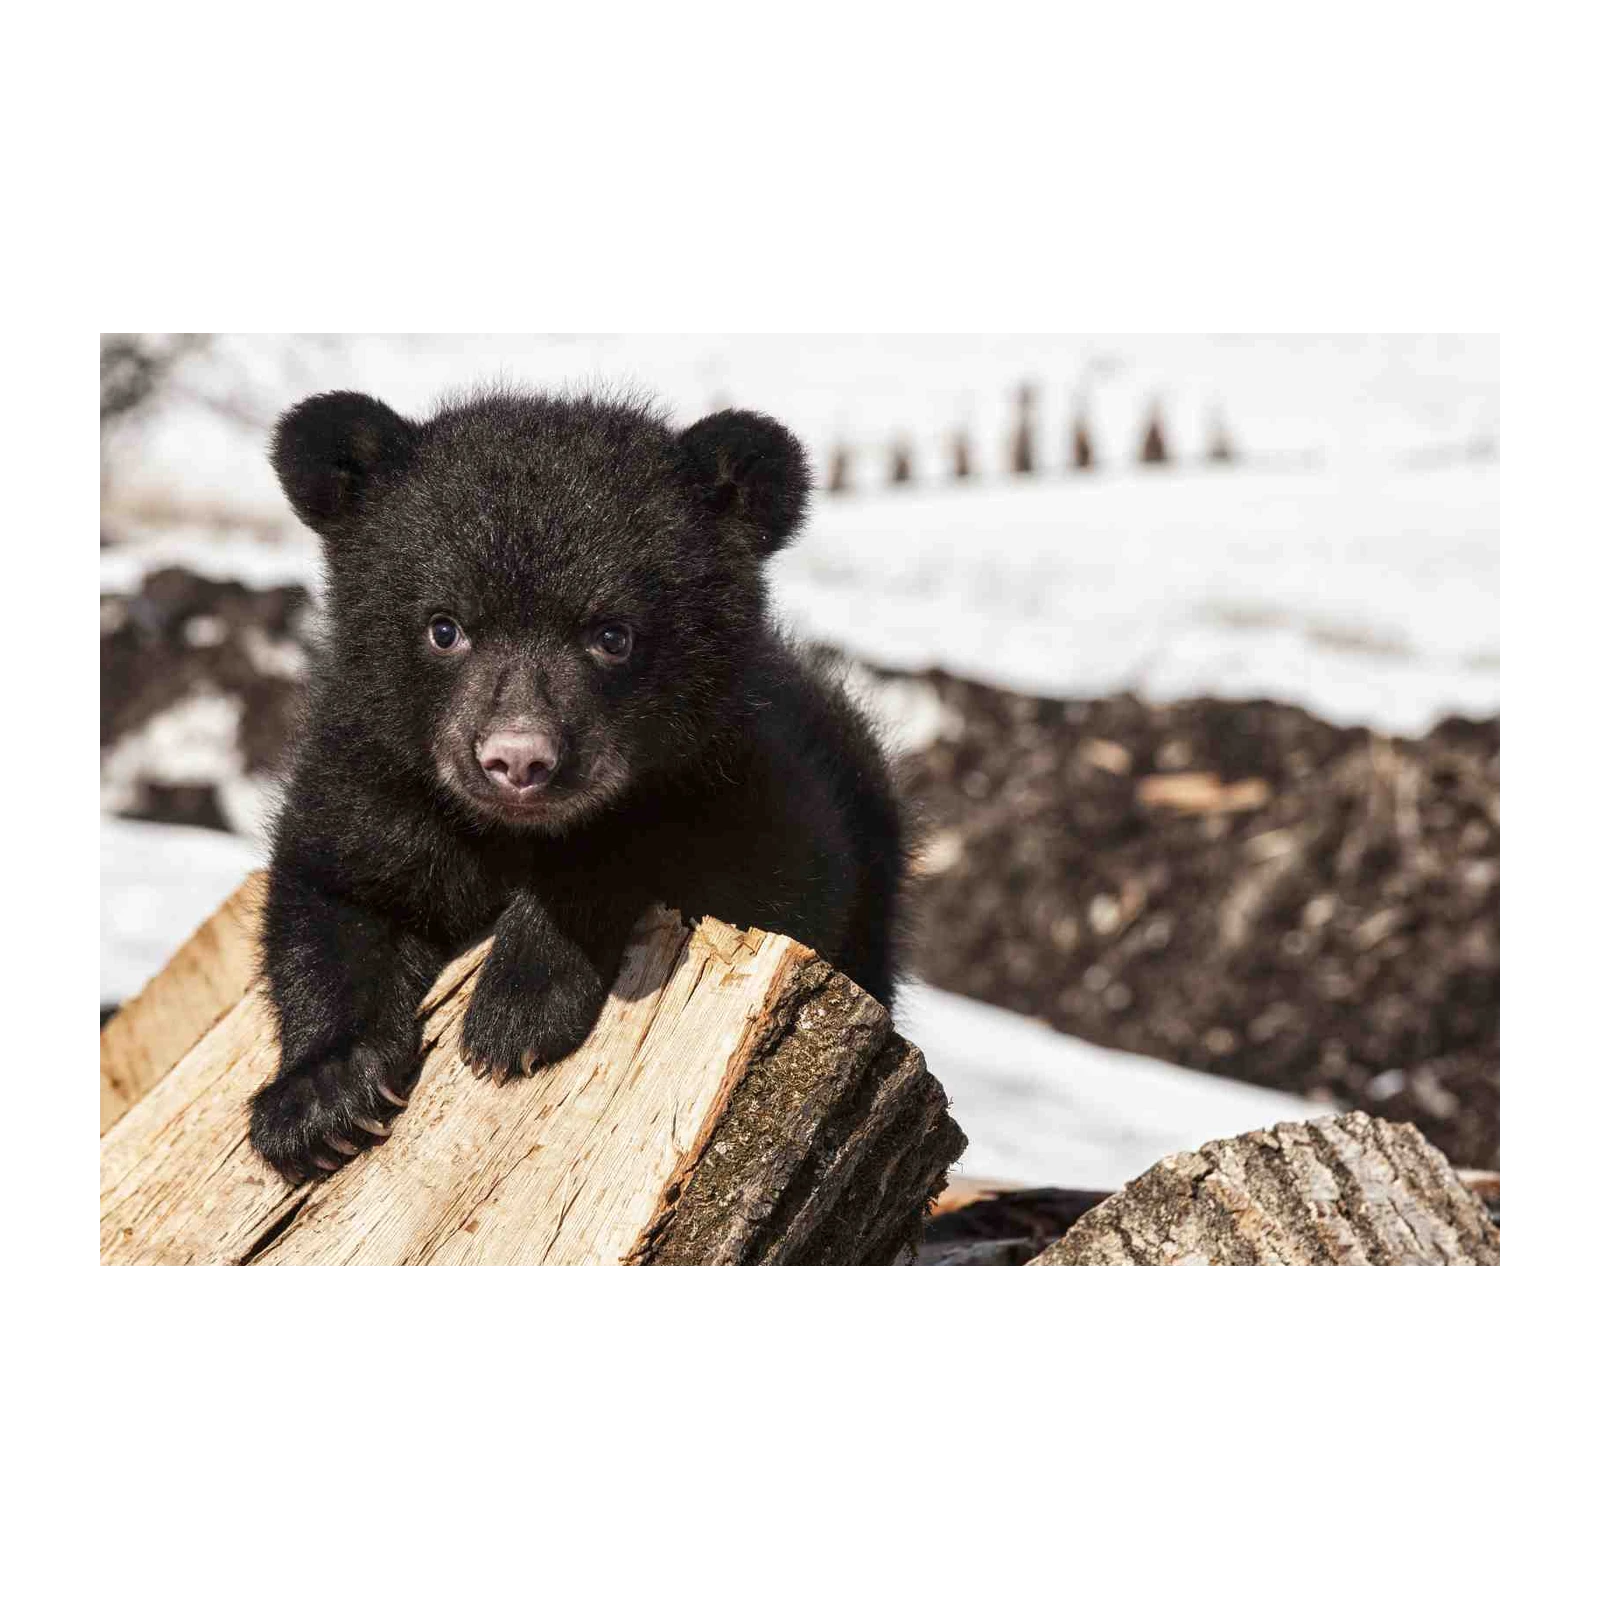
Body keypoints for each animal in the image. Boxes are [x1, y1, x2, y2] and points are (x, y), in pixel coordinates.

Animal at [247, 387, 908, 1183]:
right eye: (444, 627)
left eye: (612, 635)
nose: (518, 760)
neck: (509, 833)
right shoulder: (372, 777)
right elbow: (333, 894)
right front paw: (322, 1101)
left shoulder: (755, 791)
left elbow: (731, 871)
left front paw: (518, 1008)